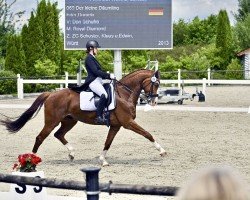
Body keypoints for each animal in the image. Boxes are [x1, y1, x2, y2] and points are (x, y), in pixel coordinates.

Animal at [1, 69, 167, 166]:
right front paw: (162, 151)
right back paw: (31, 160)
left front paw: (102, 160)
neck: (124, 94)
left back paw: (71, 154)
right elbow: (147, 134)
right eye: (156, 84)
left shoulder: (116, 126)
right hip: (51, 121)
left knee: (58, 134)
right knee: (40, 137)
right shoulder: (128, 123)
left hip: (69, 121)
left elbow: (107, 143)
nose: (154, 102)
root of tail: (51, 94)